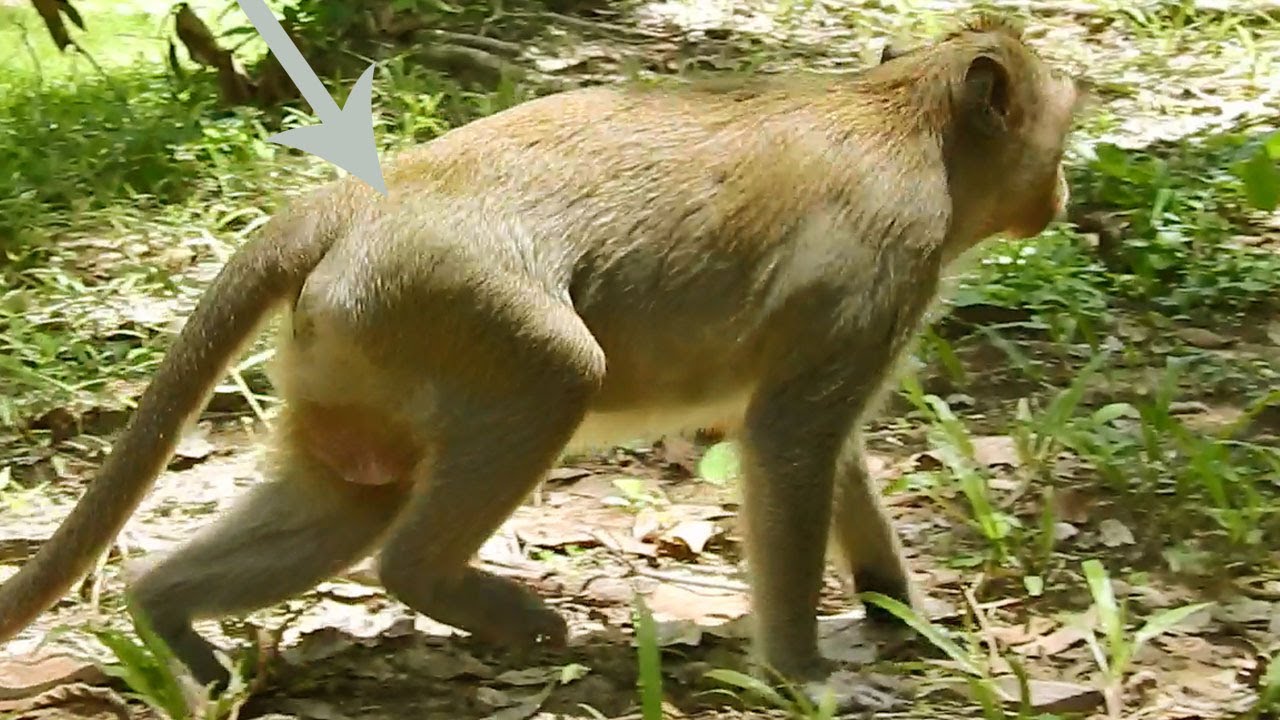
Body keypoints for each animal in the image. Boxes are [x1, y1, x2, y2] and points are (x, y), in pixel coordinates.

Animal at [0, 13, 1083, 708]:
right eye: (1063, 127)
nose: (1063, 192)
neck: (907, 117)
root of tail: (347, 203)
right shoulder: (883, 257)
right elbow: (789, 437)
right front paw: (805, 674)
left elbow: (824, 446)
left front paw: (900, 610)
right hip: (440, 302)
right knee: (553, 378)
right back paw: (463, 595)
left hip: (350, 349)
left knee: (350, 496)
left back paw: (165, 612)